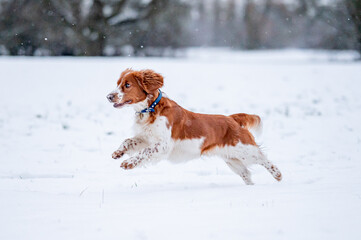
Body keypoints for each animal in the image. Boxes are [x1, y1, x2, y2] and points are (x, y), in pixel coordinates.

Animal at [107, 68, 282, 185]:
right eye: (117, 84)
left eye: (127, 85)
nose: (109, 96)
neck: (151, 109)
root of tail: (232, 119)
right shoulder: (145, 137)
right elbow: (128, 141)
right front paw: (118, 153)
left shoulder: (162, 145)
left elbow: (144, 152)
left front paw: (128, 163)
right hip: (232, 160)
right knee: (246, 174)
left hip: (245, 151)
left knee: (264, 159)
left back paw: (278, 175)